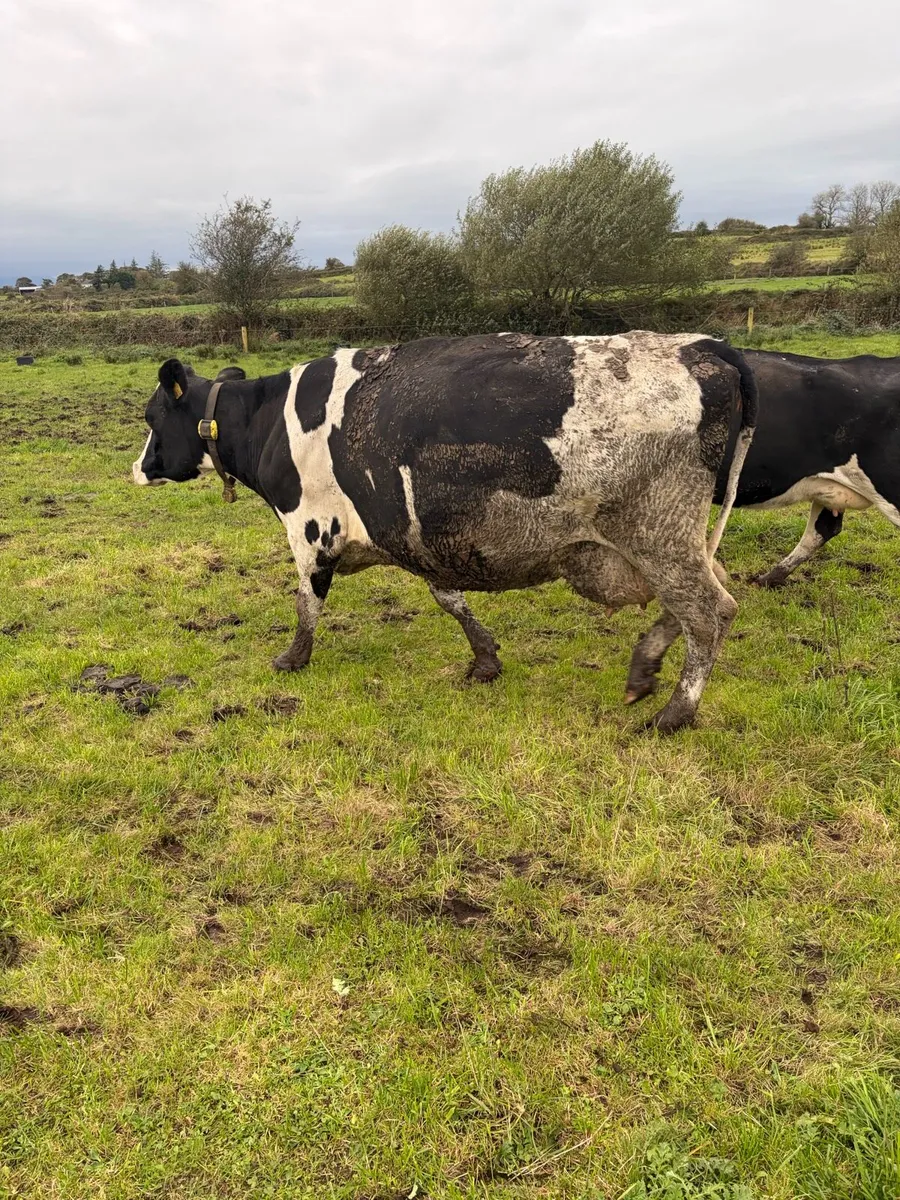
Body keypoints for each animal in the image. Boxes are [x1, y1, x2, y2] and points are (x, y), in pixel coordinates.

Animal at [133, 333, 756, 733]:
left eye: (152, 416)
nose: (137, 468)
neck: (270, 421)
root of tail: (702, 348)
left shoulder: (310, 530)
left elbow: (307, 601)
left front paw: (293, 658)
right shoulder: (420, 534)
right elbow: (448, 597)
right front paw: (485, 659)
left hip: (656, 535)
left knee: (712, 611)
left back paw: (674, 713)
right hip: (676, 540)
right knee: (709, 589)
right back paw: (644, 666)